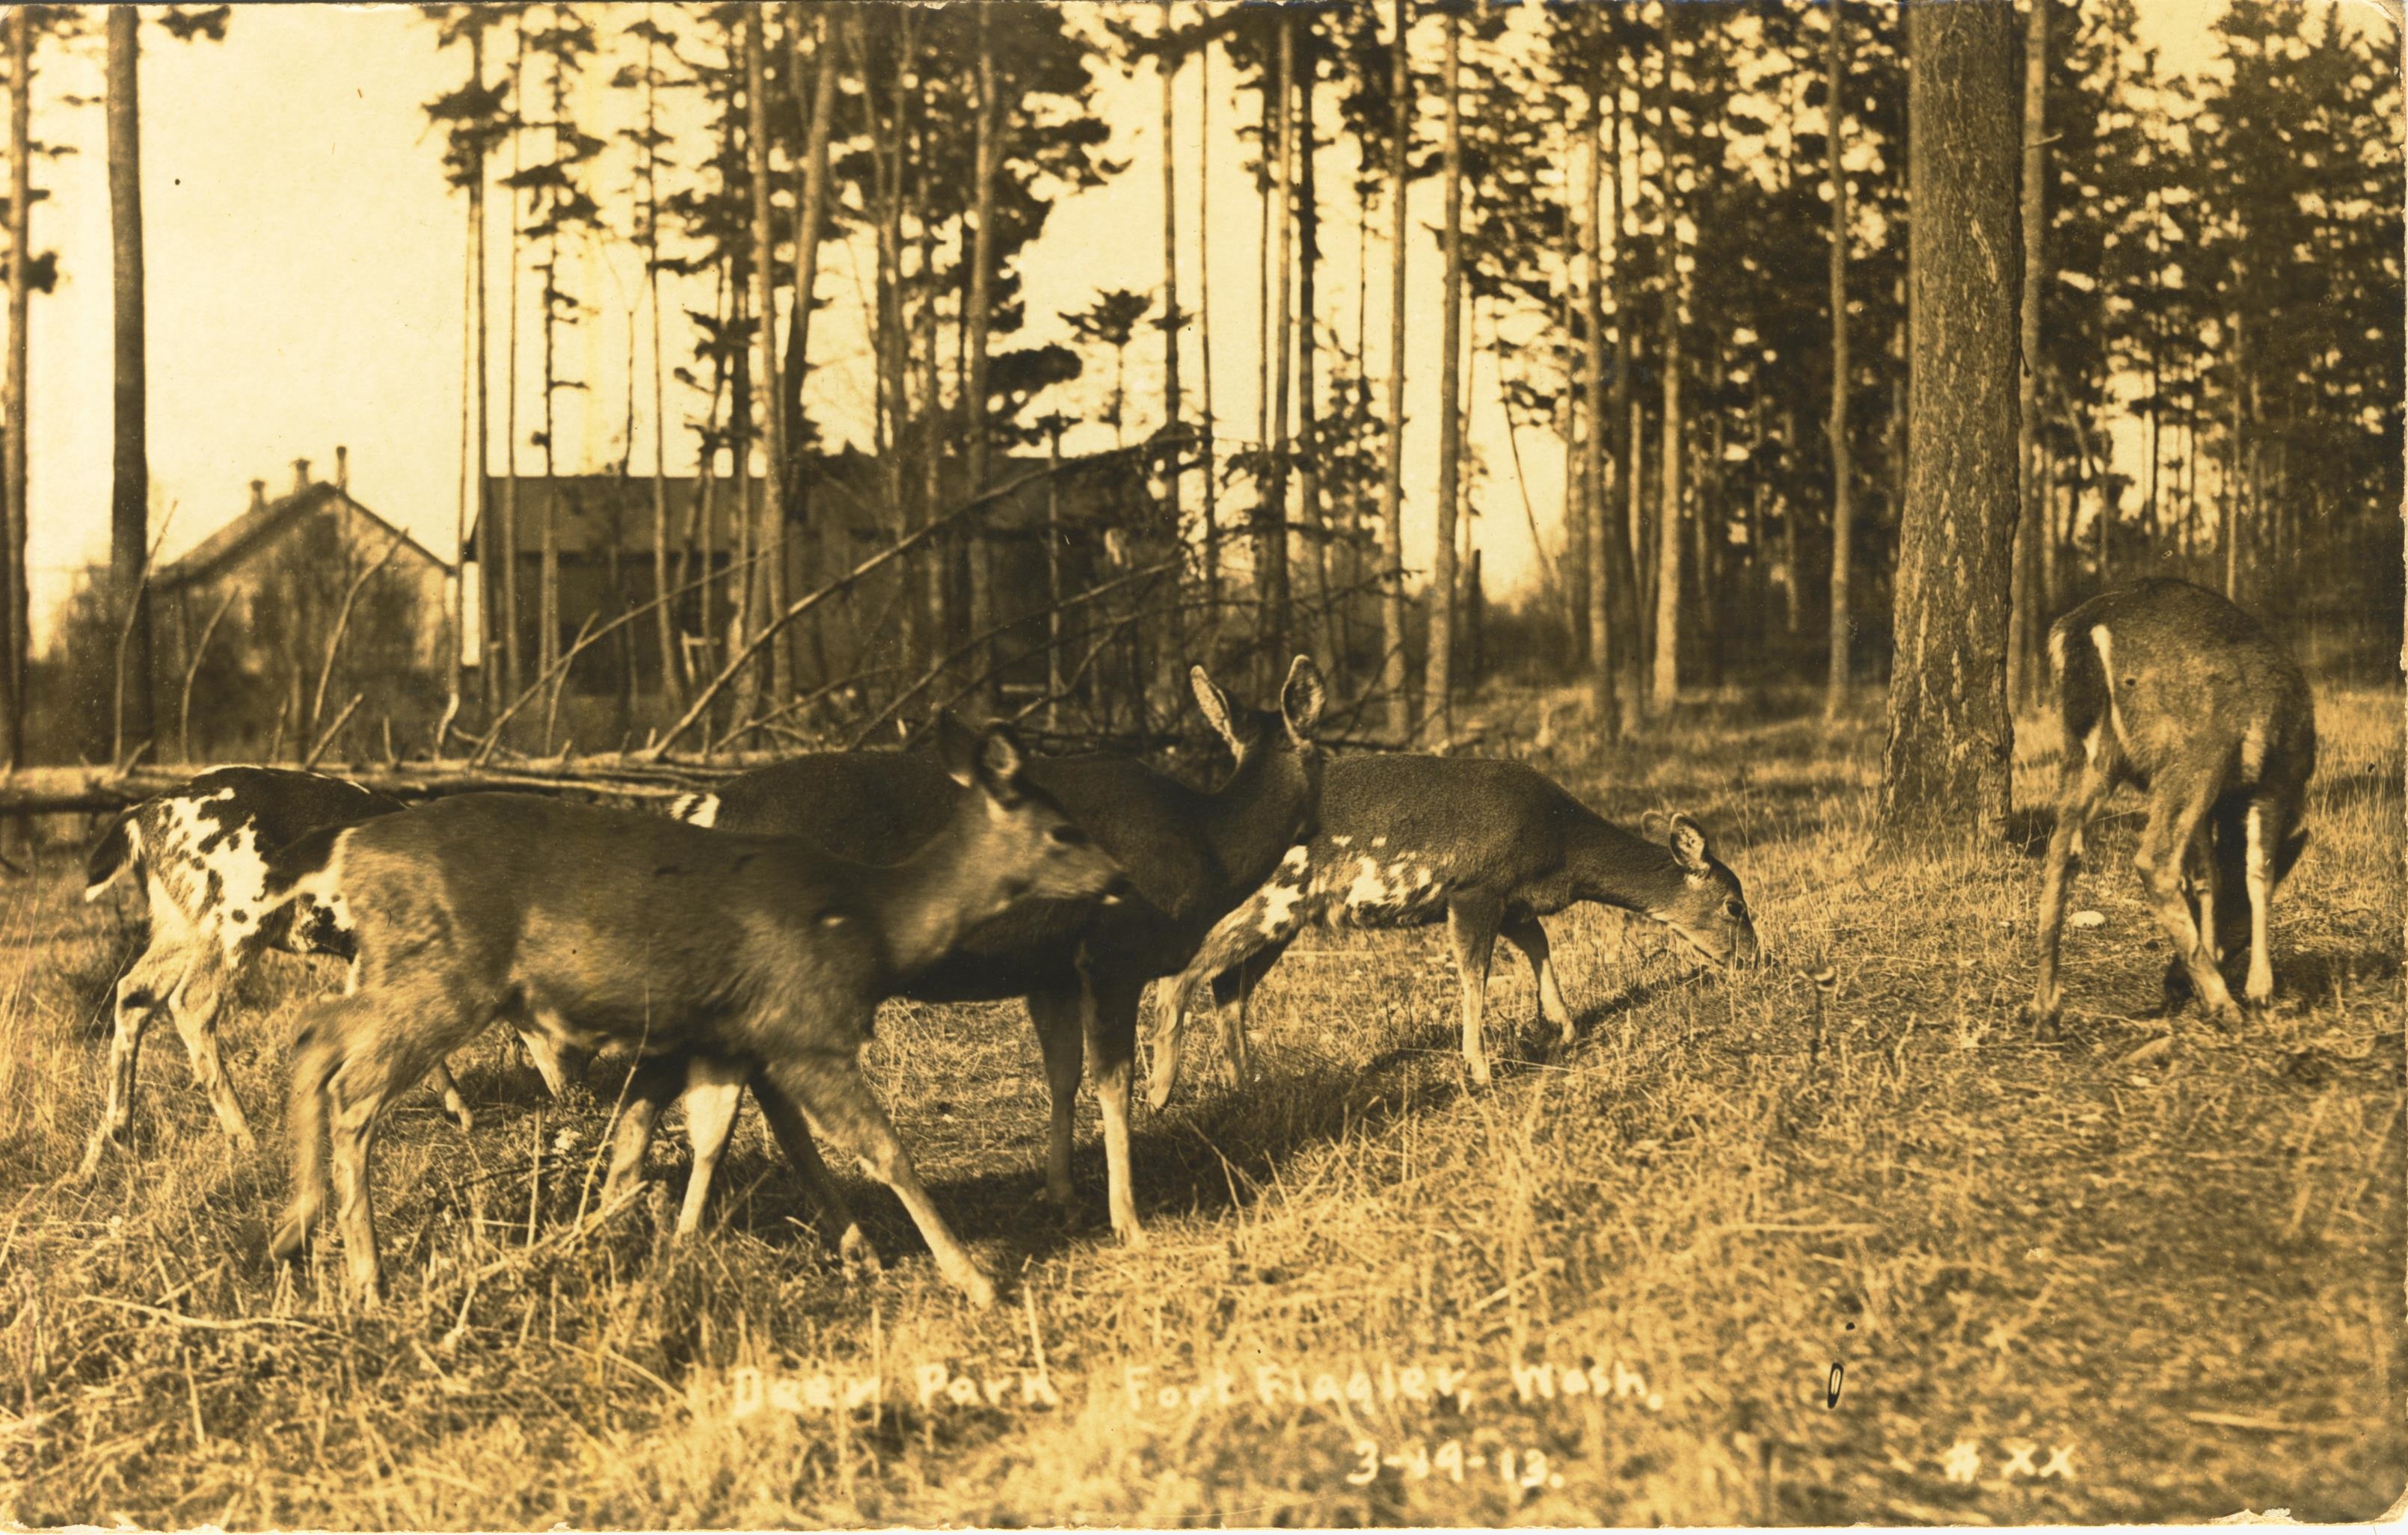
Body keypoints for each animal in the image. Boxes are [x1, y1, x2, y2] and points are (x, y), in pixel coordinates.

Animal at [77, 766, 579, 1177]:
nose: (575, 1091)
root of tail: (141, 819)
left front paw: (459, 1111)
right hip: (237, 916)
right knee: (190, 1002)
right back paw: (246, 1140)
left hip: (178, 923)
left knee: (133, 991)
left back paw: (111, 1142)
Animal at [265, 723, 1122, 1309]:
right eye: (1064, 829)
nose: (1117, 876)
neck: (877, 921)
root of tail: (347, 847)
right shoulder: (806, 1029)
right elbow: (885, 1150)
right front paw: (976, 1279)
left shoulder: (727, 1035)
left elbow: (695, 1140)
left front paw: (660, 1248)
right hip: (446, 975)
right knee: (353, 1089)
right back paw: (367, 1274)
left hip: (409, 971)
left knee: (313, 1035)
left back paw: (292, 1231)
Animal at [636, 656, 1327, 1248]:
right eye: (1327, 752)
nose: (1321, 825)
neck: (1207, 844)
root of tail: (708, 806)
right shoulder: (1113, 950)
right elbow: (1114, 1081)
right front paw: (1128, 1220)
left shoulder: (1049, 967)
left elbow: (1062, 1074)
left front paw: (1061, 1195)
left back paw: (841, 1236)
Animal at [1144, 755, 1763, 1109]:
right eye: (1735, 905)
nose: (1755, 958)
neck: (1560, 849)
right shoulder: (1475, 886)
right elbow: (1474, 973)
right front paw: (1481, 1068)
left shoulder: (1514, 899)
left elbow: (1540, 946)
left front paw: (1562, 1026)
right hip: (1270, 899)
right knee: (1183, 972)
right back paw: (1158, 1090)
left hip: (1285, 920)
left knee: (1229, 987)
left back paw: (1247, 1087)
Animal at [2027, 578, 2316, 1031]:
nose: (2174, 984)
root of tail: (2085, 629)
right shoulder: (2276, 778)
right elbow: (2258, 874)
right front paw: (2260, 994)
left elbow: (2207, 876)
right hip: (2195, 750)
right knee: (2155, 859)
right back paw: (2223, 1004)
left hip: (2087, 751)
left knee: (2061, 849)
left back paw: (2045, 1009)